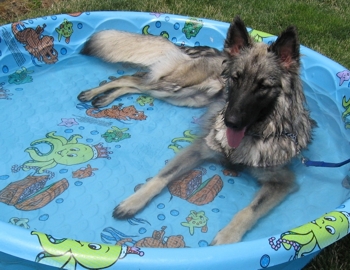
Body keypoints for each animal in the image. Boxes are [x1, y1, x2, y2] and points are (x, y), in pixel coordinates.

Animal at [78, 16, 314, 245]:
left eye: (263, 86)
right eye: (235, 79)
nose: (230, 121)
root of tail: (215, 51)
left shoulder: (281, 182)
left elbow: (249, 210)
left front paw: (228, 237)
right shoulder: (199, 149)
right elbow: (162, 176)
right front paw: (134, 201)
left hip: (188, 97)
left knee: (135, 84)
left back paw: (104, 98)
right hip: (179, 89)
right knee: (134, 79)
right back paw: (95, 93)